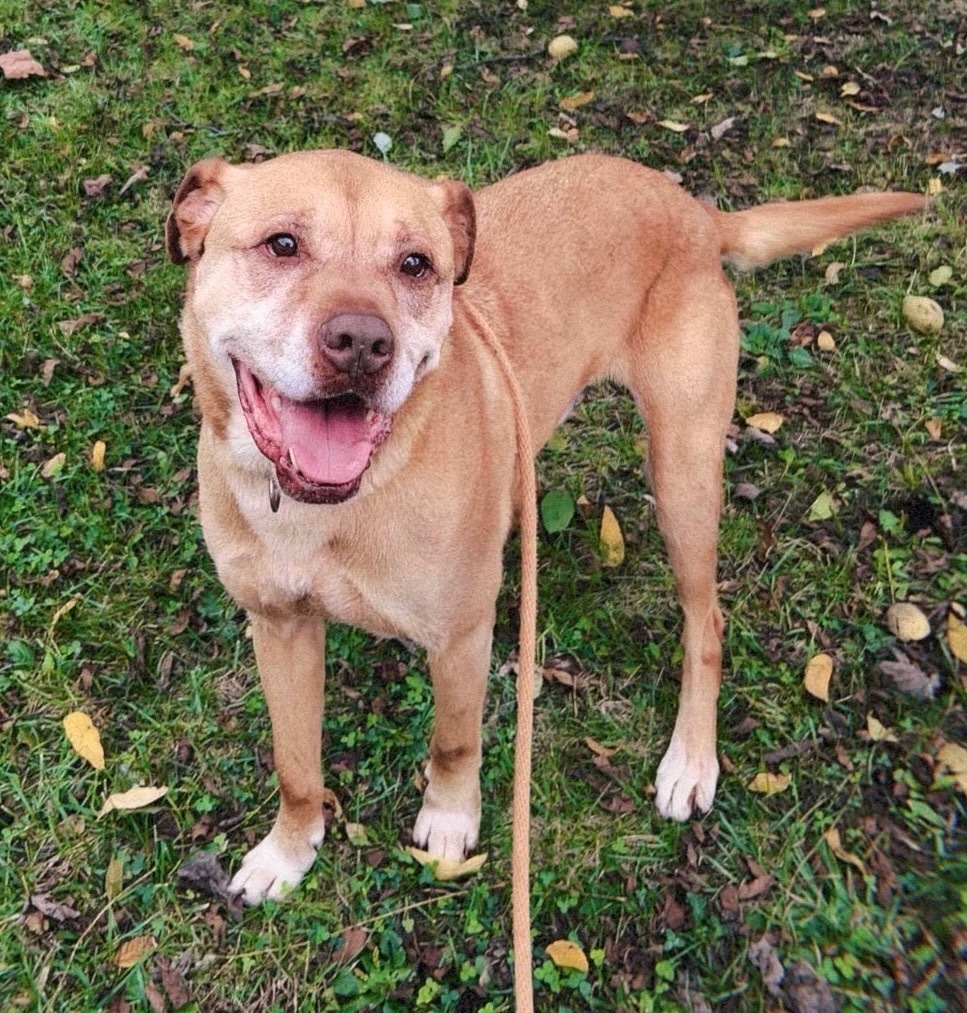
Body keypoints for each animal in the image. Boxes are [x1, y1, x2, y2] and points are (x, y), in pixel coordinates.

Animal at [164, 151, 923, 903]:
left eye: (414, 264)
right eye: (281, 245)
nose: (362, 343)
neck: (323, 508)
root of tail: (695, 213)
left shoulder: (462, 635)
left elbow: (454, 741)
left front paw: (448, 821)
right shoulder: (279, 627)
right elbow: (294, 766)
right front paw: (288, 852)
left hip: (682, 474)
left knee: (705, 620)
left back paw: (690, 759)